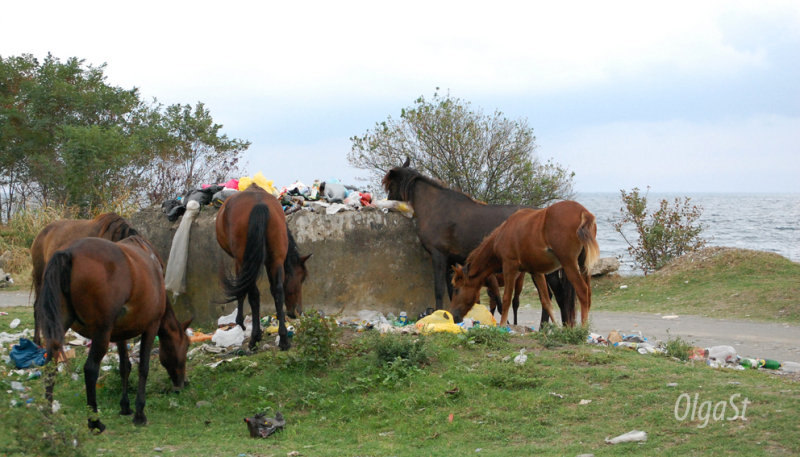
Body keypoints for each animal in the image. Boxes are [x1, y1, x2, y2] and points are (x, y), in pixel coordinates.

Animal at [35, 235, 191, 432]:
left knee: (50, 364)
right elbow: (143, 367)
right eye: (186, 346)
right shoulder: (151, 326)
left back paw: (48, 415)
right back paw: (94, 421)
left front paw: (125, 406)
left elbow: (124, 367)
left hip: (60, 327)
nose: (183, 383)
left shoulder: (120, 333)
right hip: (102, 333)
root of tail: (68, 253)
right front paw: (139, 413)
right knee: (90, 369)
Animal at [217, 183, 310, 350]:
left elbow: (242, 292)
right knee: (277, 291)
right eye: (301, 279)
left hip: (245, 259)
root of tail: (259, 204)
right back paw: (283, 339)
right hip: (275, 259)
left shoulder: (239, 262)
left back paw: (255, 337)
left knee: (253, 294)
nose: (297, 312)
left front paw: (240, 322)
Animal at [382, 159, 576, 324]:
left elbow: (439, 290)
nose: (387, 209)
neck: (437, 208)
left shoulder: (439, 257)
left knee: (558, 295)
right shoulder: (452, 262)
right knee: (549, 296)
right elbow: (452, 291)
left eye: (390, 185)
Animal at [450, 201, 600, 326]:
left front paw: (502, 325)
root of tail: (583, 212)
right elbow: (546, 301)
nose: (453, 315)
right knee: (588, 294)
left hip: (569, 264)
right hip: (583, 266)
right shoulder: (536, 272)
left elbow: (506, 299)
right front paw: (556, 327)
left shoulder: (509, 267)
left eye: (457, 289)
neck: (502, 233)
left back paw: (583, 329)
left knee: (582, 291)